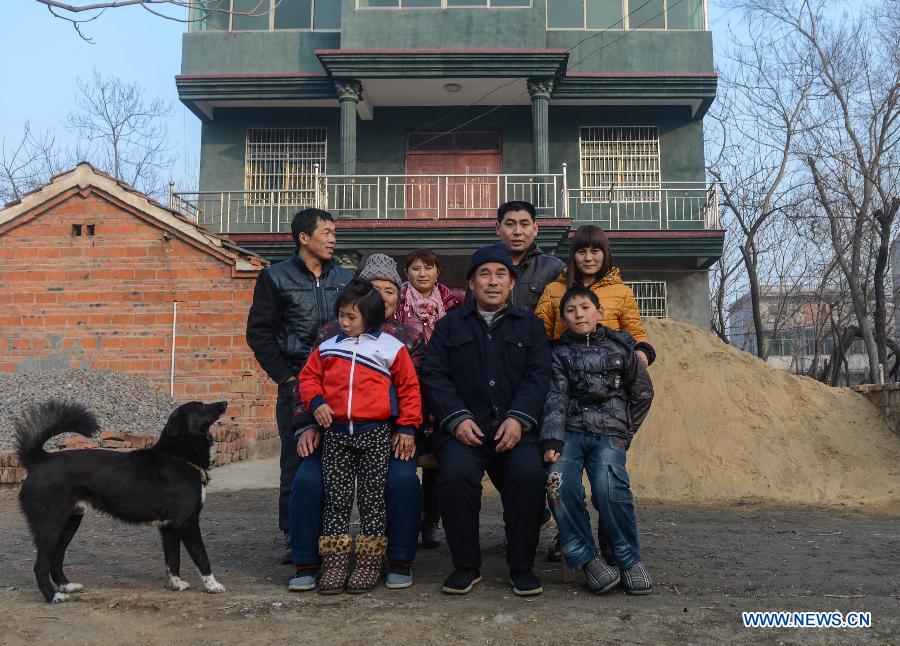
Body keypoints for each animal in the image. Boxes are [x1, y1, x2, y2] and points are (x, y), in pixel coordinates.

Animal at [14, 402, 229, 604]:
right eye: (201, 406)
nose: (224, 403)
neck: (178, 457)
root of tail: (39, 459)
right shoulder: (187, 523)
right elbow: (202, 557)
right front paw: (213, 585)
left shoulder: (169, 527)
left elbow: (172, 559)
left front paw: (176, 584)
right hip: (50, 525)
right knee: (40, 565)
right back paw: (53, 597)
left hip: (70, 522)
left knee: (56, 559)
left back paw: (66, 586)